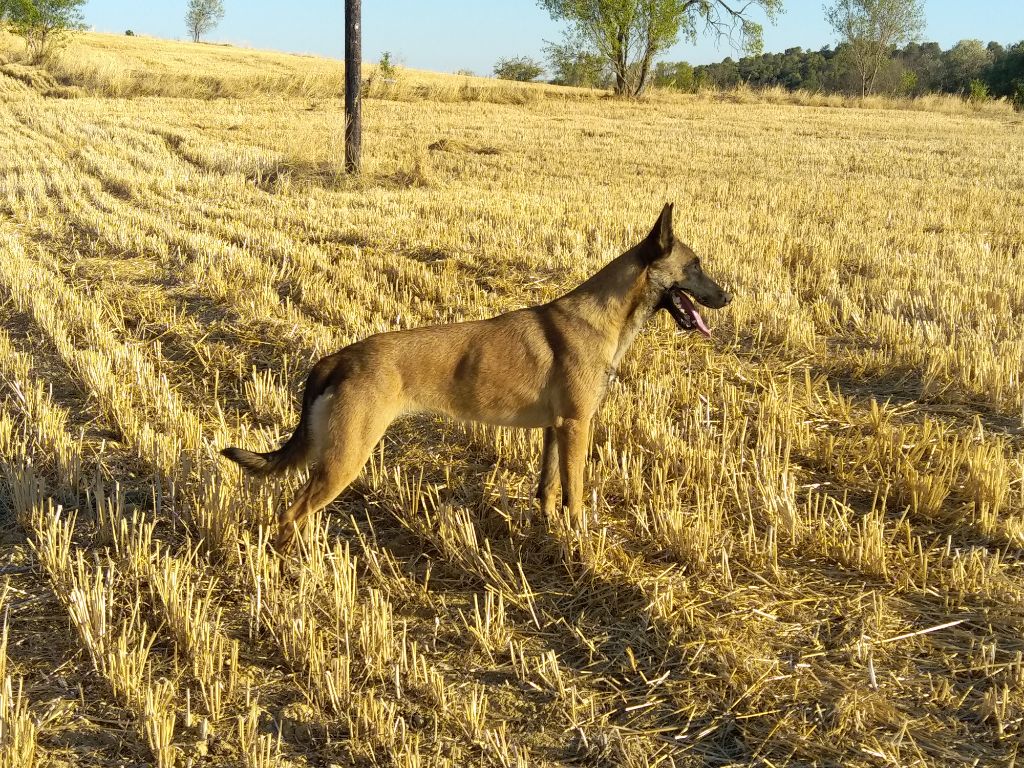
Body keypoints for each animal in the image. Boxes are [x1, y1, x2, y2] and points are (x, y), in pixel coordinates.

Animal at [225, 202, 737, 552]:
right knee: (289, 513)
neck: (601, 317)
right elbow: (574, 493)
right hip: (345, 458)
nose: (729, 298)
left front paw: (549, 534)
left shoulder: (554, 430)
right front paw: (580, 543)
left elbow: (548, 489)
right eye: (694, 266)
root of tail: (338, 358)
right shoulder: (577, 427)